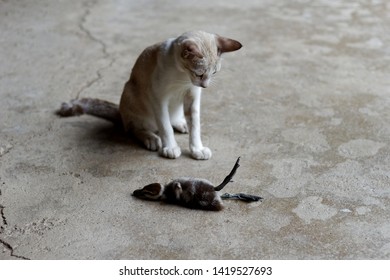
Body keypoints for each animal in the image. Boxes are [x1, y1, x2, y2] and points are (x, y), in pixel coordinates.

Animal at [57, 30, 241, 160]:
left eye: (214, 73)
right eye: (199, 74)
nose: (205, 86)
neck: (183, 78)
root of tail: (120, 112)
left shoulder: (192, 97)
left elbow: (195, 126)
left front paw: (197, 149)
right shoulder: (159, 99)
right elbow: (165, 127)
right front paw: (170, 148)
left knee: (174, 120)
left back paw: (181, 124)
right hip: (132, 94)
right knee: (135, 129)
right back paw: (151, 139)